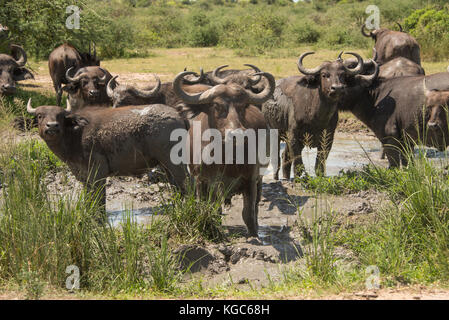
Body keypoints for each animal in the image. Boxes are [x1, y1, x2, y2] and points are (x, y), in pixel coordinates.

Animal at [26, 97, 187, 211]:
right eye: (40, 115)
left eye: (60, 116)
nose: (52, 126)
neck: (75, 134)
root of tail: (178, 116)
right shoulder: (84, 176)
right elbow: (89, 198)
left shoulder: (98, 173)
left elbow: (99, 199)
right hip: (166, 166)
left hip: (175, 163)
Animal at [173, 69, 274, 236]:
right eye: (217, 105)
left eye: (243, 106)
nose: (236, 134)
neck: (226, 158)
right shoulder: (205, 181)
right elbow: (211, 208)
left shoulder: (251, 179)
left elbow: (248, 212)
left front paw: (254, 234)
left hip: (259, 178)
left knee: (256, 204)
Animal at [260, 51, 376, 179]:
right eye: (324, 75)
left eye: (343, 75)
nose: (337, 88)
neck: (316, 117)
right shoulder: (294, 135)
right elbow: (298, 163)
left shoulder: (328, 138)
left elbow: (319, 165)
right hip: (274, 133)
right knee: (276, 158)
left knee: (285, 156)